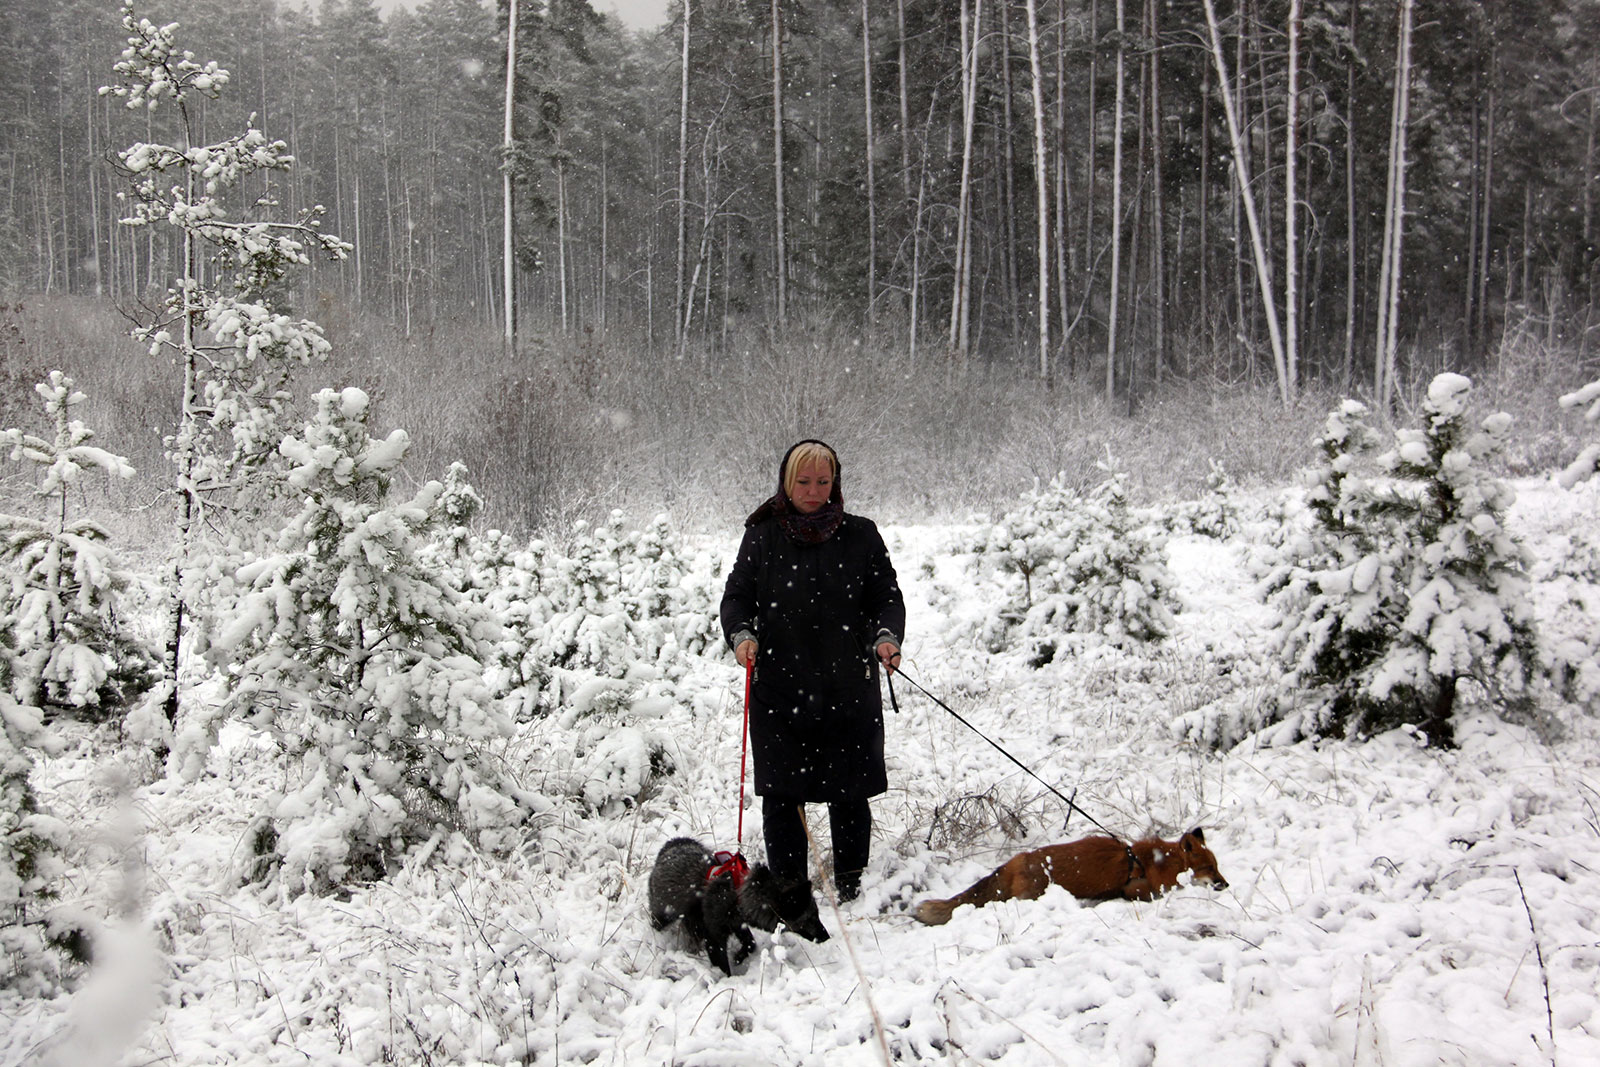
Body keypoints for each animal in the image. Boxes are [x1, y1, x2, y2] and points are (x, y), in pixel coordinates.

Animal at [915, 825, 1222, 927]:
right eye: (1209, 868)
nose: (1226, 883)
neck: (1154, 862)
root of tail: (1017, 860)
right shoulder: (1134, 889)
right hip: (1031, 896)